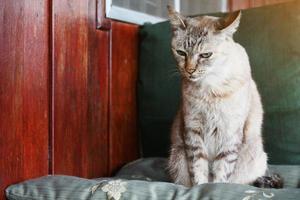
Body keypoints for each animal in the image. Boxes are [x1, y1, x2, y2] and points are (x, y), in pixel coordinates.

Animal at [168, 5, 282, 188]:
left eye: (205, 55)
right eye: (181, 53)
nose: (189, 70)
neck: (210, 88)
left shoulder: (230, 132)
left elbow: (222, 171)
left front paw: (214, 188)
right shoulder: (193, 129)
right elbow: (198, 168)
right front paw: (200, 188)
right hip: (177, 157)